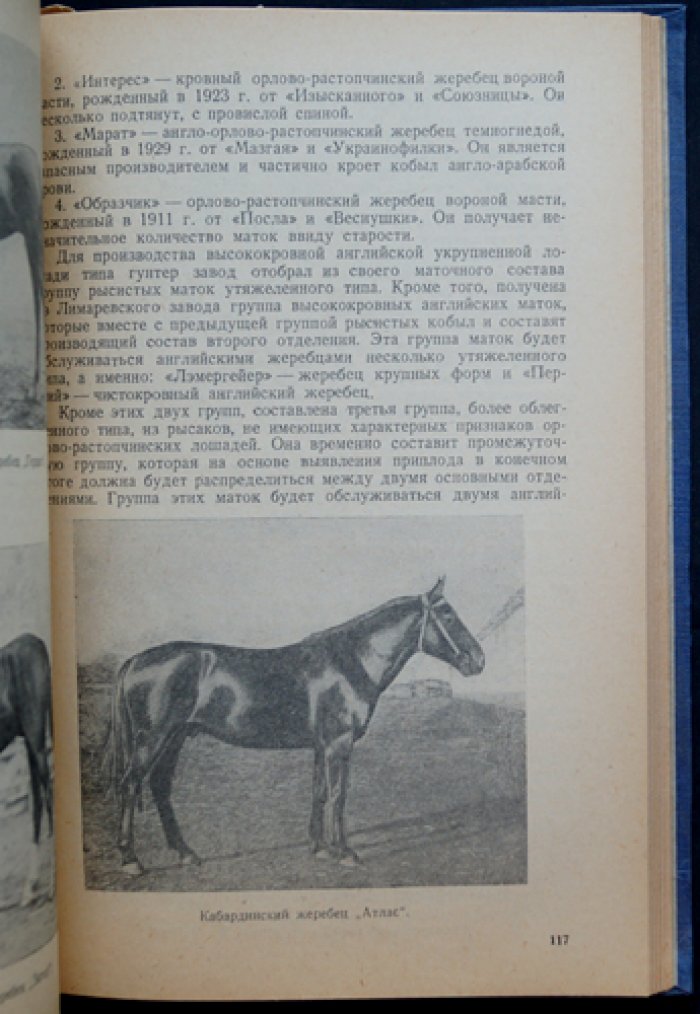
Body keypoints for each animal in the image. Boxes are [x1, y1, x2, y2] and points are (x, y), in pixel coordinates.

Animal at [107, 577, 485, 875]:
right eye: (447, 614)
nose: (478, 660)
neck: (351, 661)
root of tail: (134, 662)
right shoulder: (339, 743)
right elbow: (338, 794)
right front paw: (344, 852)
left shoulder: (322, 745)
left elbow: (319, 792)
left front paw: (319, 847)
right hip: (153, 739)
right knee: (130, 786)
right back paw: (131, 860)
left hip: (175, 738)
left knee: (159, 787)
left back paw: (186, 854)